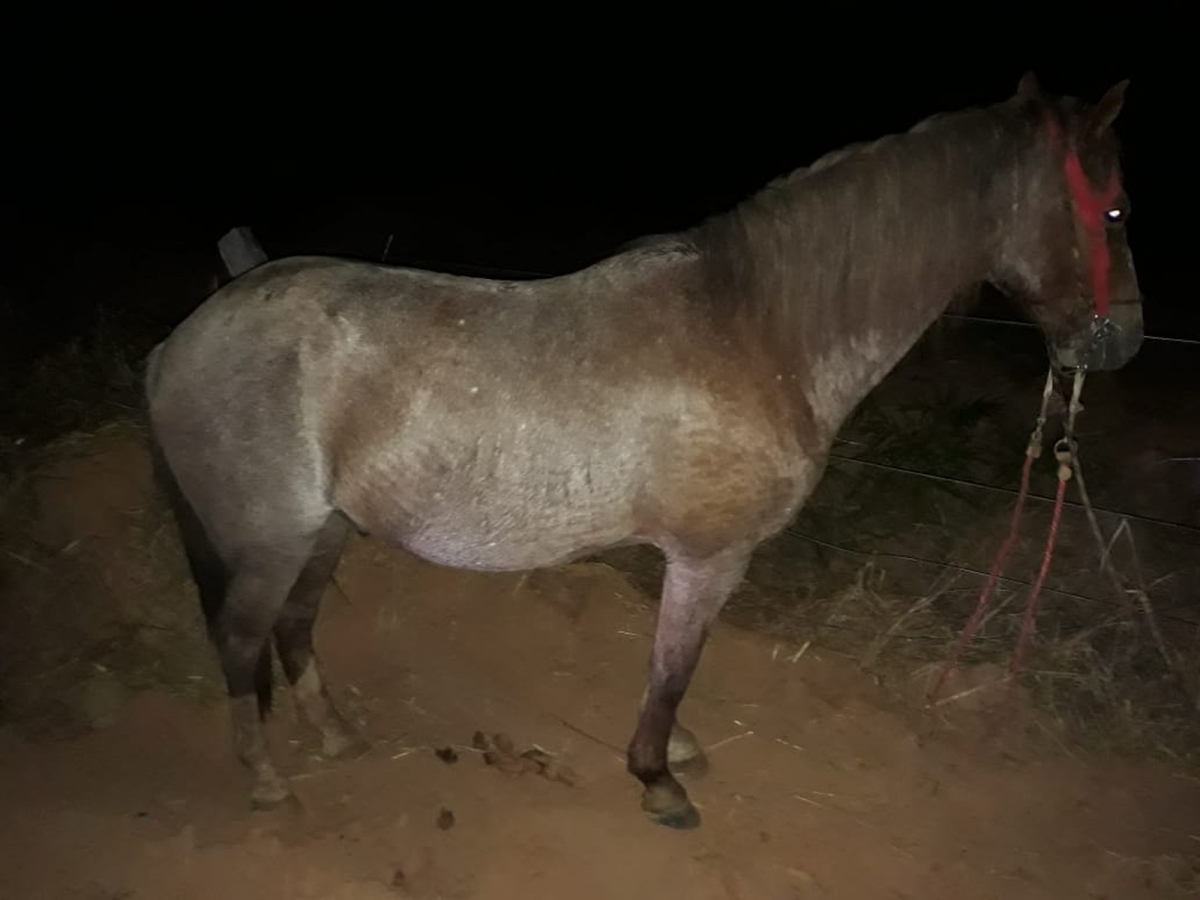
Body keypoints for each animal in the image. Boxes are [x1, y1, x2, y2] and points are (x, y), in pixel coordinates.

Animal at [143, 72, 1143, 829]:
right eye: (1117, 212)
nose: (1122, 341)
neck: (760, 332)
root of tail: (175, 346)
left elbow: (672, 661)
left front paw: (676, 755)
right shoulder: (711, 555)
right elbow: (673, 667)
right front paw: (658, 777)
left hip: (327, 531)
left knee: (293, 627)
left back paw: (337, 736)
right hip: (273, 539)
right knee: (241, 636)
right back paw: (267, 779)